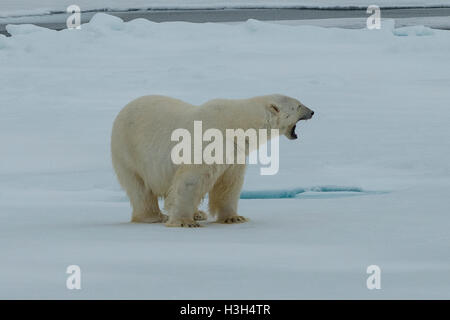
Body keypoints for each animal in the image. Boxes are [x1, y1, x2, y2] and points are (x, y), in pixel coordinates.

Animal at [110, 94, 312, 228]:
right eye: (298, 105)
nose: (312, 111)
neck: (235, 124)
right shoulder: (209, 142)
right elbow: (191, 179)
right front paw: (184, 222)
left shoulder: (234, 153)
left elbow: (229, 183)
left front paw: (234, 218)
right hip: (127, 151)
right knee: (139, 188)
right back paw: (153, 216)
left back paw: (198, 213)